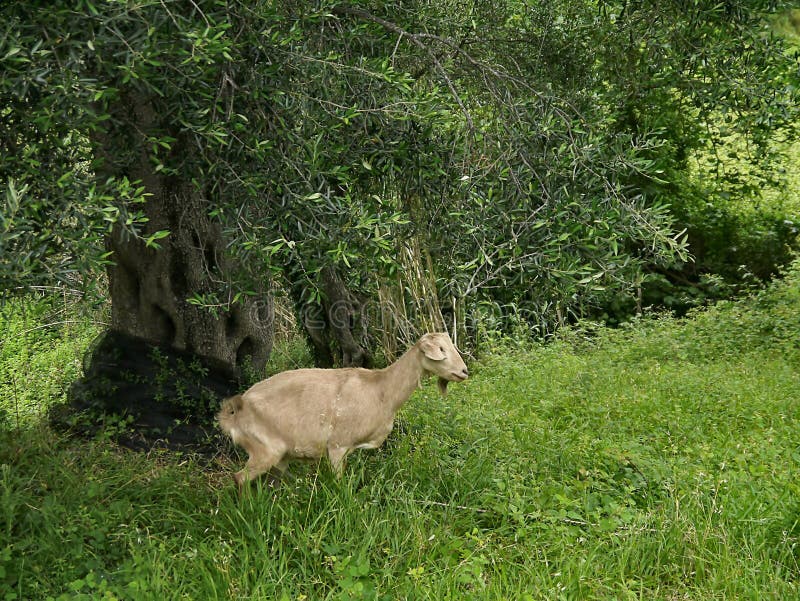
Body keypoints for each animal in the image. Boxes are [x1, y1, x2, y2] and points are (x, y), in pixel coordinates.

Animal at [218, 332, 469, 488]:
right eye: (441, 349)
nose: (464, 371)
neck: (381, 390)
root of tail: (234, 412)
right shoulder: (338, 445)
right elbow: (340, 485)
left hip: (279, 456)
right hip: (264, 449)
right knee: (239, 478)